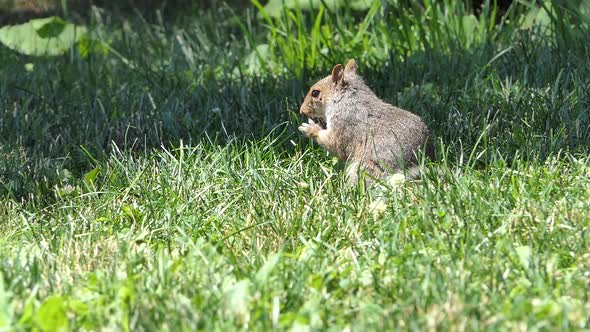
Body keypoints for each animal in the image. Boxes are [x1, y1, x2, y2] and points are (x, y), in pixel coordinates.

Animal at [300, 59, 434, 184]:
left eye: (315, 93)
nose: (302, 111)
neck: (345, 100)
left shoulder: (344, 124)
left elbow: (334, 144)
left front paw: (310, 128)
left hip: (362, 168)